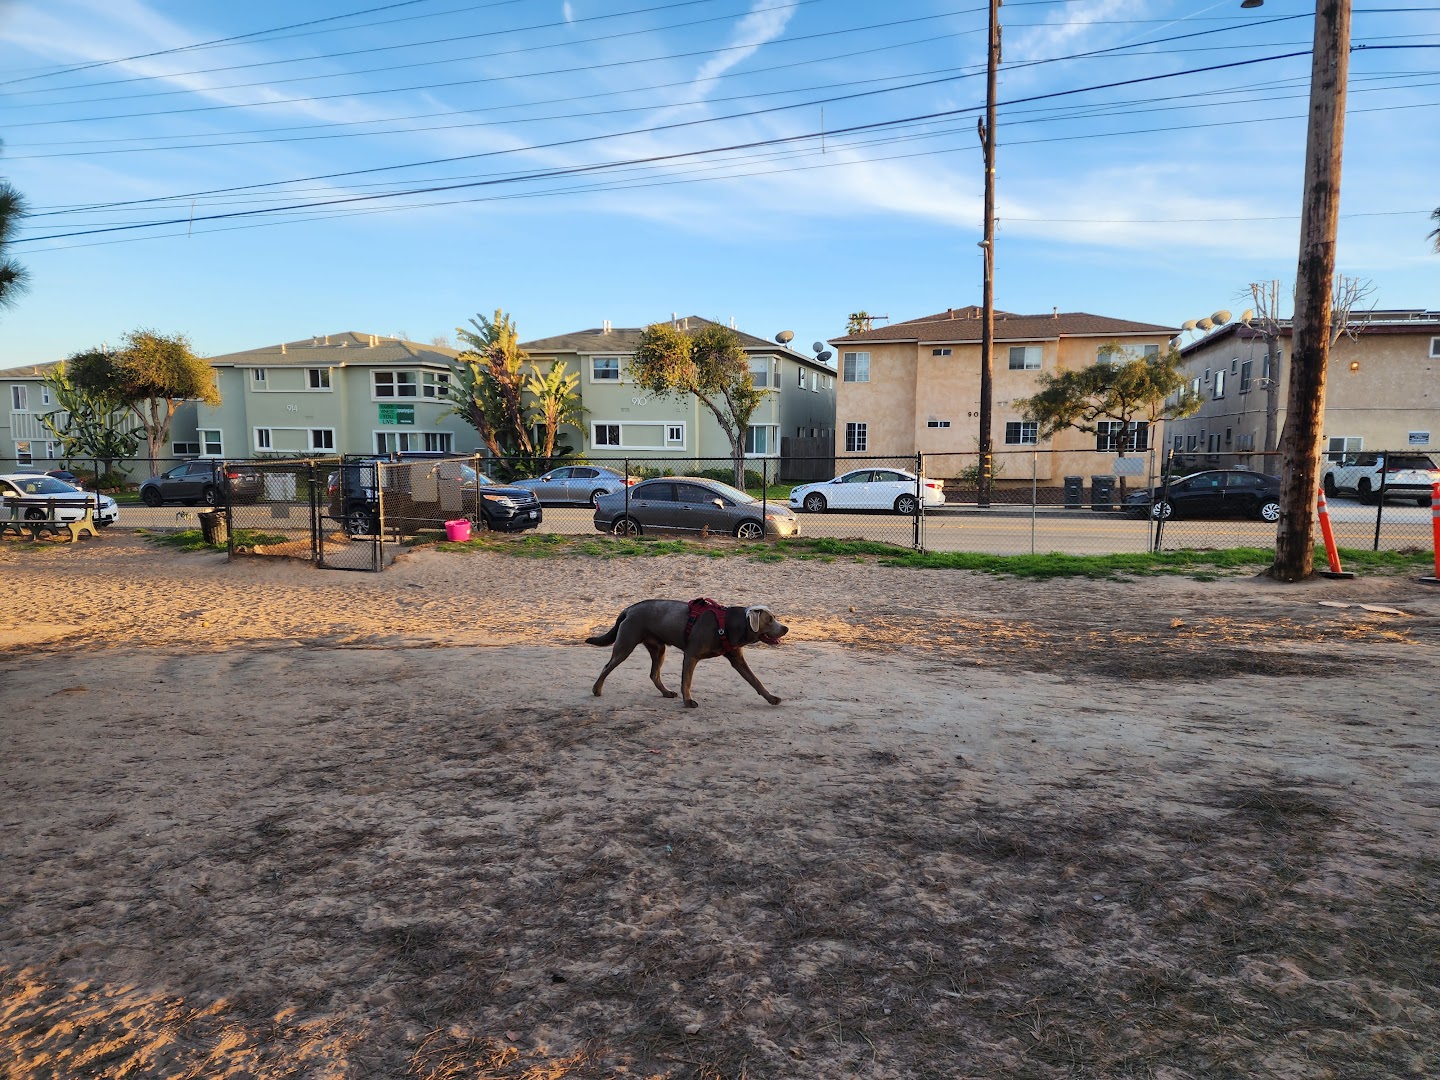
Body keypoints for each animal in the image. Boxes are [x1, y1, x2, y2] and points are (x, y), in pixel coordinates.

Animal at [584, 601, 789, 711]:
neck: (729, 624)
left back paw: (666, 692)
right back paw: (596, 689)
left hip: (658, 649)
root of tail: (629, 609)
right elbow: (687, 681)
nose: (786, 628)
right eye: (769, 619)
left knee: (654, 674)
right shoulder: (691, 656)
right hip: (626, 645)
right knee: (607, 666)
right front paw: (688, 701)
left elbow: (755, 681)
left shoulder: (737, 659)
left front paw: (772, 698)